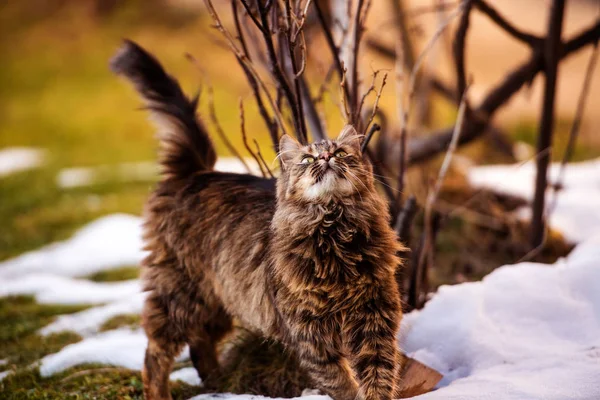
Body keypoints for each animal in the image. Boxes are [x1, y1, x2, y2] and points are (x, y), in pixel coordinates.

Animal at [110, 38, 406, 400]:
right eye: (308, 159)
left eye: (340, 153)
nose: (325, 157)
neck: (336, 233)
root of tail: (197, 171)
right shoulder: (312, 337)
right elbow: (342, 383)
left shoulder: (374, 321)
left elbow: (379, 378)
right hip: (180, 297)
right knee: (155, 355)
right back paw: (165, 393)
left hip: (216, 303)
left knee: (200, 345)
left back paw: (219, 385)